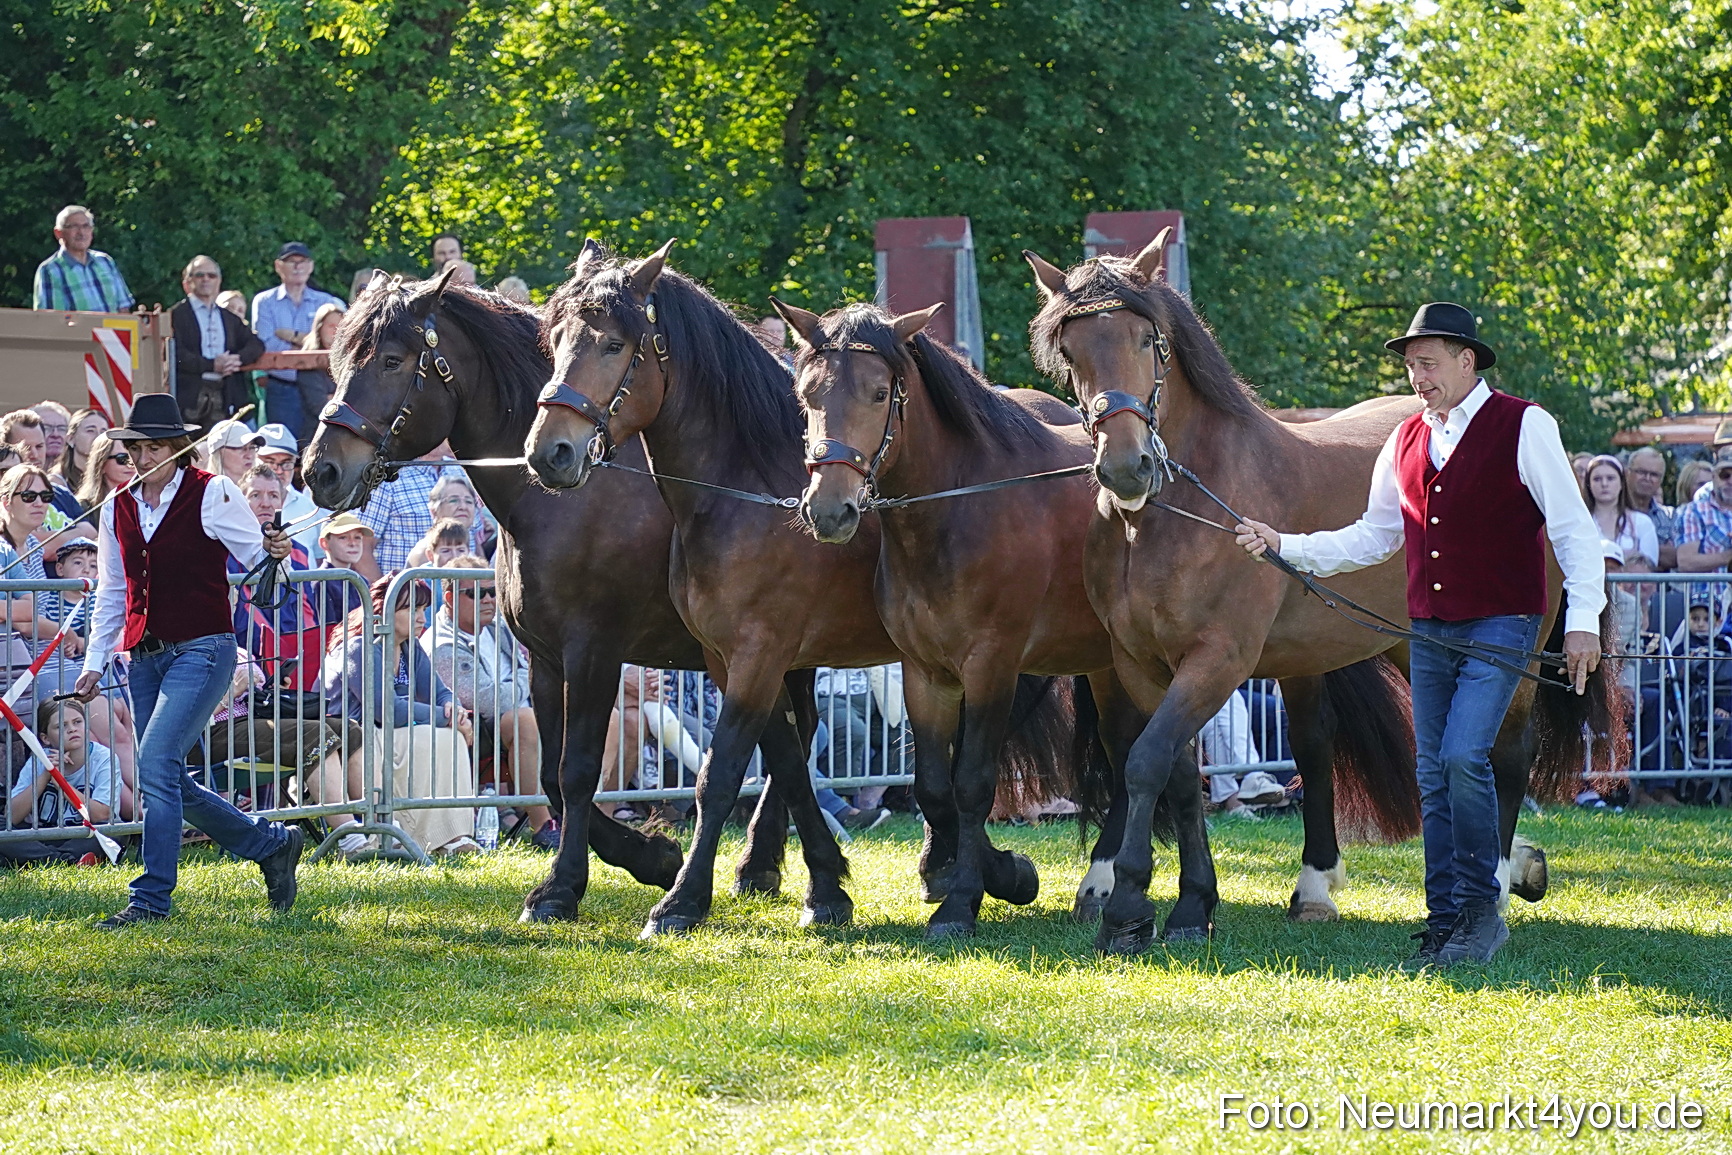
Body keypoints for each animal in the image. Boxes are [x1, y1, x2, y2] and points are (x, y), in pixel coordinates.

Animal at [302, 268, 828, 923]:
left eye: (392, 360)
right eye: (338, 359)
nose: (319, 470)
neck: (564, 501)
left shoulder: (594, 652)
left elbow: (576, 772)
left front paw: (568, 885)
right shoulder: (546, 660)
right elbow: (552, 777)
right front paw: (647, 858)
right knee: (792, 739)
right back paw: (763, 864)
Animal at [524, 240, 1094, 936]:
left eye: (612, 344)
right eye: (554, 340)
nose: (549, 451)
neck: (744, 494)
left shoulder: (757, 653)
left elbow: (721, 775)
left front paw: (681, 900)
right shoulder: (731, 658)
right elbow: (790, 764)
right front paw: (823, 888)